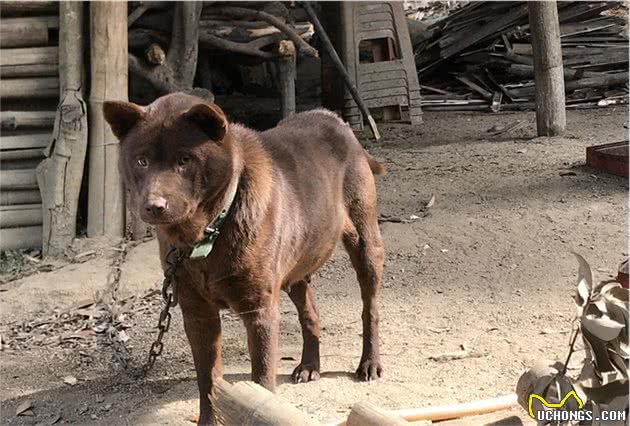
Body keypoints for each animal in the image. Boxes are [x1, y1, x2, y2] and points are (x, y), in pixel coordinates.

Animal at [103, 93, 386, 422]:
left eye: (184, 160)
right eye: (142, 161)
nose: (154, 206)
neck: (206, 234)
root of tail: (335, 120)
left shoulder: (260, 311)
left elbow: (261, 380)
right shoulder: (198, 315)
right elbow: (208, 380)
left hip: (365, 245)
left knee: (369, 308)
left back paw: (369, 363)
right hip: (294, 270)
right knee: (310, 312)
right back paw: (309, 365)